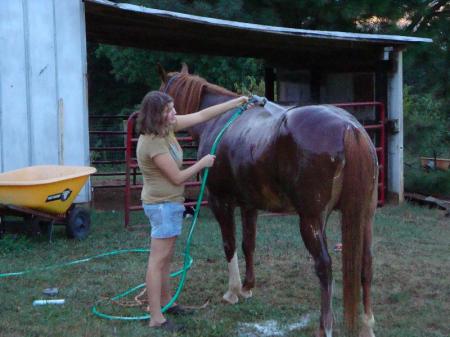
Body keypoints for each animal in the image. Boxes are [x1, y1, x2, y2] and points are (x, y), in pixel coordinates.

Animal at [159, 63, 380, 336]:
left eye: (162, 91)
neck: (218, 121)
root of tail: (350, 128)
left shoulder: (220, 201)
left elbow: (230, 244)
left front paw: (232, 292)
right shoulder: (249, 205)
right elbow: (248, 244)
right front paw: (248, 287)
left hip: (311, 220)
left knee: (325, 267)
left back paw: (325, 327)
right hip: (365, 216)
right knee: (366, 264)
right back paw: (367, 325)